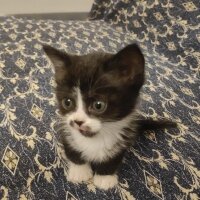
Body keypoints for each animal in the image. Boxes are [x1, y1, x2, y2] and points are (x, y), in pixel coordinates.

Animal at [43, 44, 176, 191]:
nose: (78, 121)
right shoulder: (66, 131)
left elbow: (113, 158)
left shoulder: (124, 138)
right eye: (67, 102)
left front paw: (104, 177)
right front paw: (80, 171)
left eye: (98, 105)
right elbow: (72, 150)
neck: (94, 139)